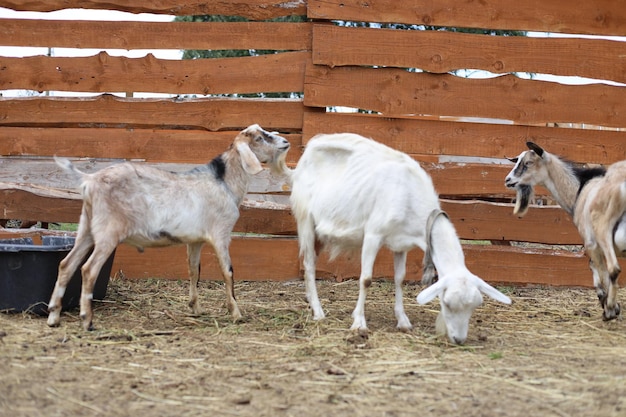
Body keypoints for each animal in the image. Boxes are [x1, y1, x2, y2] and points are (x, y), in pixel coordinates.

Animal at [47, 122, 288, 330]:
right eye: (261, 138)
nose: (286, 142)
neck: (224, 182)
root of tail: (90, 179)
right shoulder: (221, 233)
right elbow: (228, 271)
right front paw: (236, 313)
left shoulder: (196, 240)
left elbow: (194, 270)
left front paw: (196, 308)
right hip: (108, 232)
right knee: (88, 270)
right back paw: (87, 320)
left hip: (86, 228)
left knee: (66, 264)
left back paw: (53, 317)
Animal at [282, 133, 512, 344]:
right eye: (446, 303)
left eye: (475, 306)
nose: (459, 339)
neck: (409, 196)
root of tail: (303, 157)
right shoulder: (373, 235)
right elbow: (366, 279)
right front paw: (359, 323)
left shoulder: (402, 244)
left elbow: (399, 279)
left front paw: (403, 321)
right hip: (306, 221)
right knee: (309, 265)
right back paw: (318, 312)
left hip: (320, 233)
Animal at [504, 141, 620, 320]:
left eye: (529, 163)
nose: (508, 180)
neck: (580, 187)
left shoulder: (592, 242)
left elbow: (599, 269)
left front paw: (609, 306)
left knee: (613, 269)